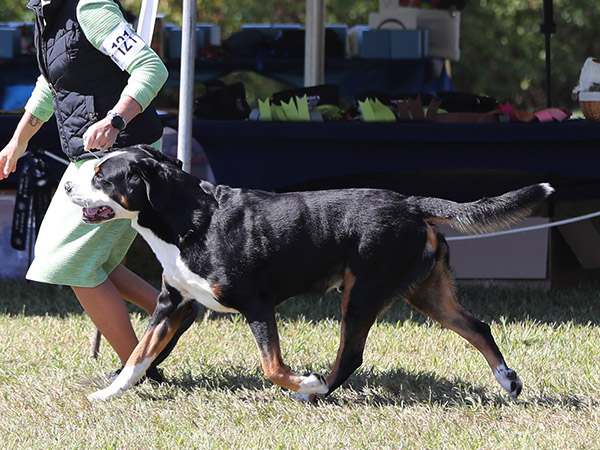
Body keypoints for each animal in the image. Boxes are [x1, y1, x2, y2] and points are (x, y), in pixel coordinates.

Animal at [64, 145, 553, 402]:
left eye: (102, 176)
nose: (67, 185)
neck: (192, 220)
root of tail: (411, 202)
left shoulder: (256, 304)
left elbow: (272, 366)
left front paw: (302, 380)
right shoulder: (173, 303)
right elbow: (138, 355)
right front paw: (108, 394)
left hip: (362, 292)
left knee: (350, 356)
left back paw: (314, 392)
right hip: (425, 292)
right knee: (479, 327)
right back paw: (507, 380)